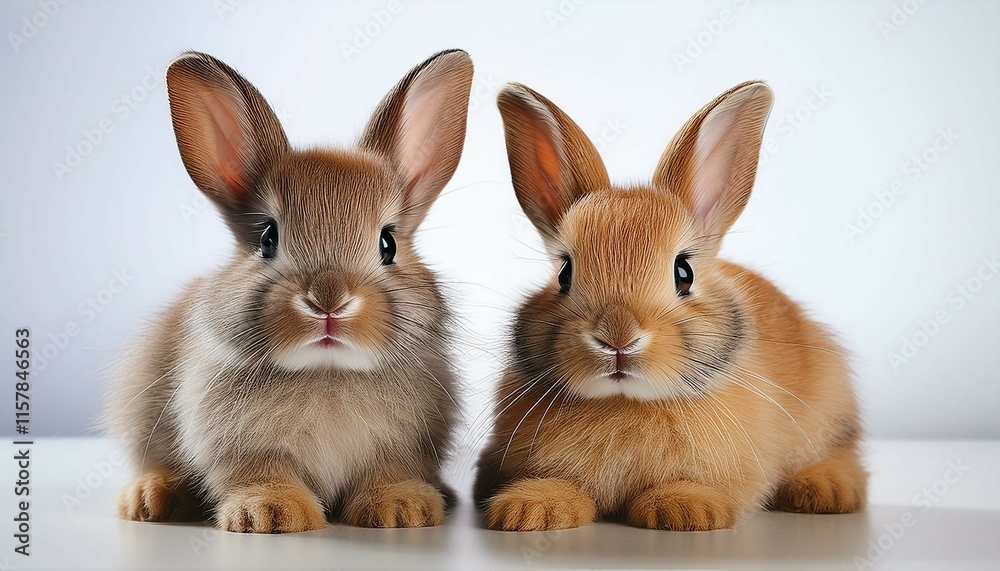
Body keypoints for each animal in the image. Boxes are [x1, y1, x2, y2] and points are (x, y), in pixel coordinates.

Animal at [103, 49, 474, 533]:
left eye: (388, 243)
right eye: (267, 238)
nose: (328, 301)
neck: (327, 372)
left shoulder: (404, 446)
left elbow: (390, 471)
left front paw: (402, 509)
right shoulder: (239, 445)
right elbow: (259, 472)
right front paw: (270, 513)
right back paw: (150, 498)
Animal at [474, 81, 867, 531]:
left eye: (684, 272)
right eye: (564, 274)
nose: (617, 339)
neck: (625, 402)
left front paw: (684, 509)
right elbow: (557, 485)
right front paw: (529, 510)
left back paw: (824, 491)